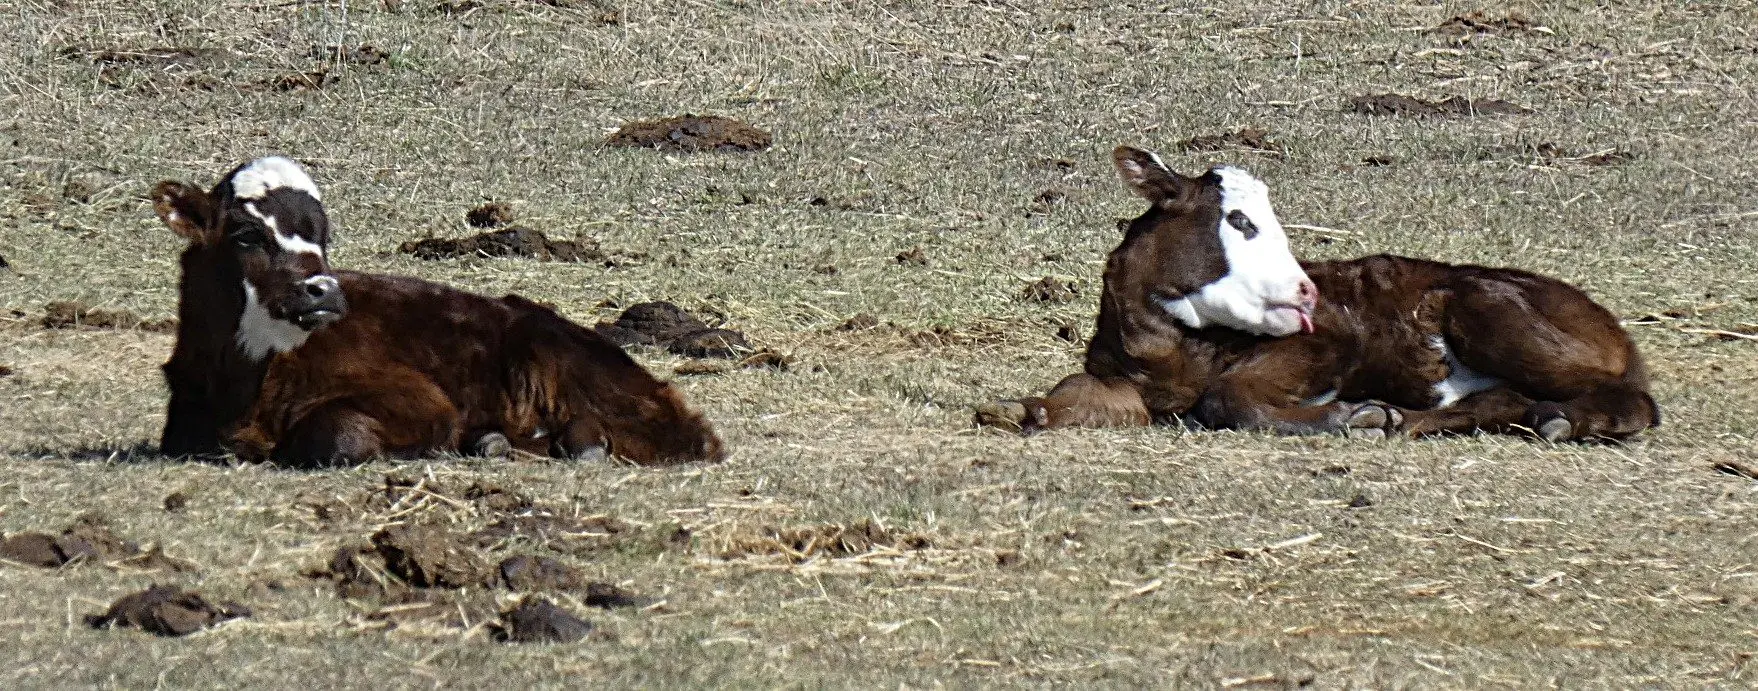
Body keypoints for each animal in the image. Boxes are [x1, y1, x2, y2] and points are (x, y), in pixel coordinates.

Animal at [976, 145, 1660, 443]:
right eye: (1240, 221)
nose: (1305, 292)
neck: (1169, 349)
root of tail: (1608, 320)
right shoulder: (1124, 383)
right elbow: (1067, 397)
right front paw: (1015, 408)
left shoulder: (1327, 341)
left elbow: (1227, 399)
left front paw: (1343, 414)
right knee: (1504, 402)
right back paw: (1404, 418)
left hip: (1489, 309)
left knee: (1636, 400)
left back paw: (1568, 419)